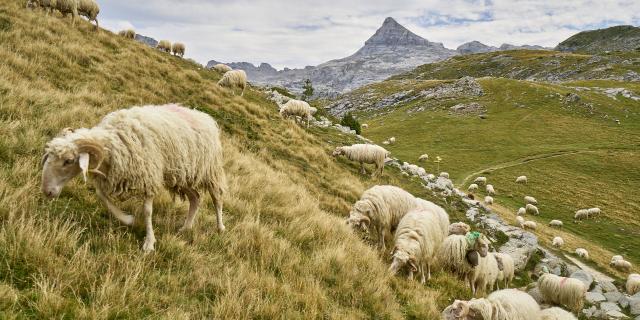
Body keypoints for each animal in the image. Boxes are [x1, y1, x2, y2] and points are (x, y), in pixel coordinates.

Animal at [40, 105, 228, 252]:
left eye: (68, 161)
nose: (47, 191)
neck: (114, 143)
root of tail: (205, 117)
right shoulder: (110, 176)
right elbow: (102, 196)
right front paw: (128, 219)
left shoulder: (149, 177)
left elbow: (147, 211)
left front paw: (149, 243)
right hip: (182, 175)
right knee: (195, 198)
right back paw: (186, 227)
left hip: (210, 171)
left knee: (217, 198)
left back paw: (220, 227)